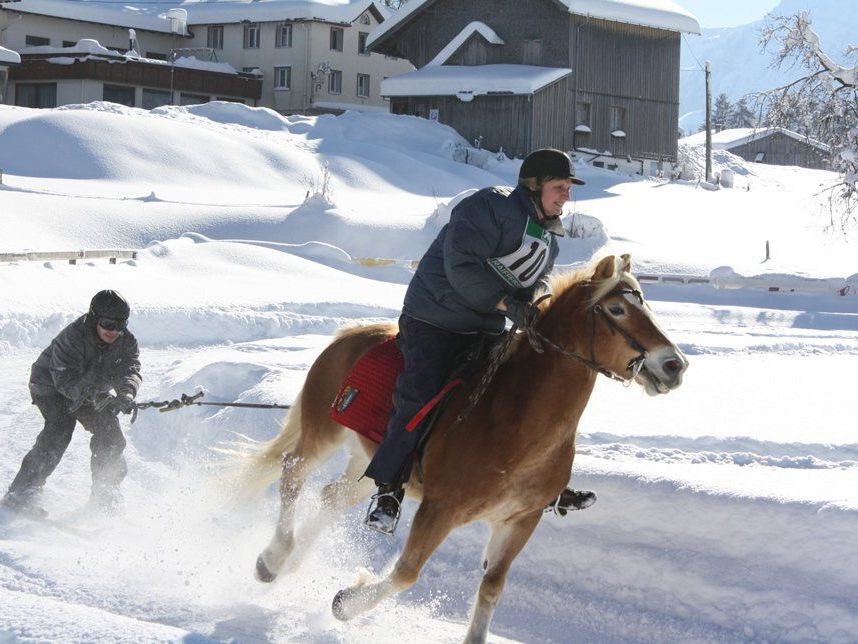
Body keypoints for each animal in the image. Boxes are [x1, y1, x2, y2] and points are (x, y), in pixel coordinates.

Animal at [237, 254, 684, 640]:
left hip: (371, 464)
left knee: (331, 496)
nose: (674, 365)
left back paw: (292, 560)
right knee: (292, 473)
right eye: (617, 309)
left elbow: (491, 588)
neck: (516, 419)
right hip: (323, 433)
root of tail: (349, 337)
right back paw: (272, 559)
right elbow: (406, 572)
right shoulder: (441, 509)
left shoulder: (519, 521)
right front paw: (346, 603)